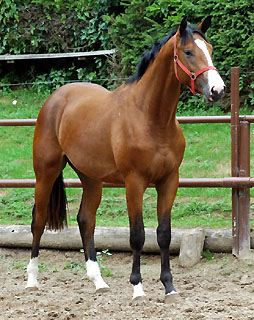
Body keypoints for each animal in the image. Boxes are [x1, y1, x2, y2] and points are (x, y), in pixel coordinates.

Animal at [25, 17, 224, 302]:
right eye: (188, 52)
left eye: (209, 48)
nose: (217, 90)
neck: (151, 118)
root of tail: (56, 98)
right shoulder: (134, 182)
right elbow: (137, 235)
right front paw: (137, 288)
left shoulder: (169, 181)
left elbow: (164, 234)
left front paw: (169, 286)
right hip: (45, 172)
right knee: (38, 220)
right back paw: (31, 280)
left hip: (91, 179)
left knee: (86, 221)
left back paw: (99, 282)